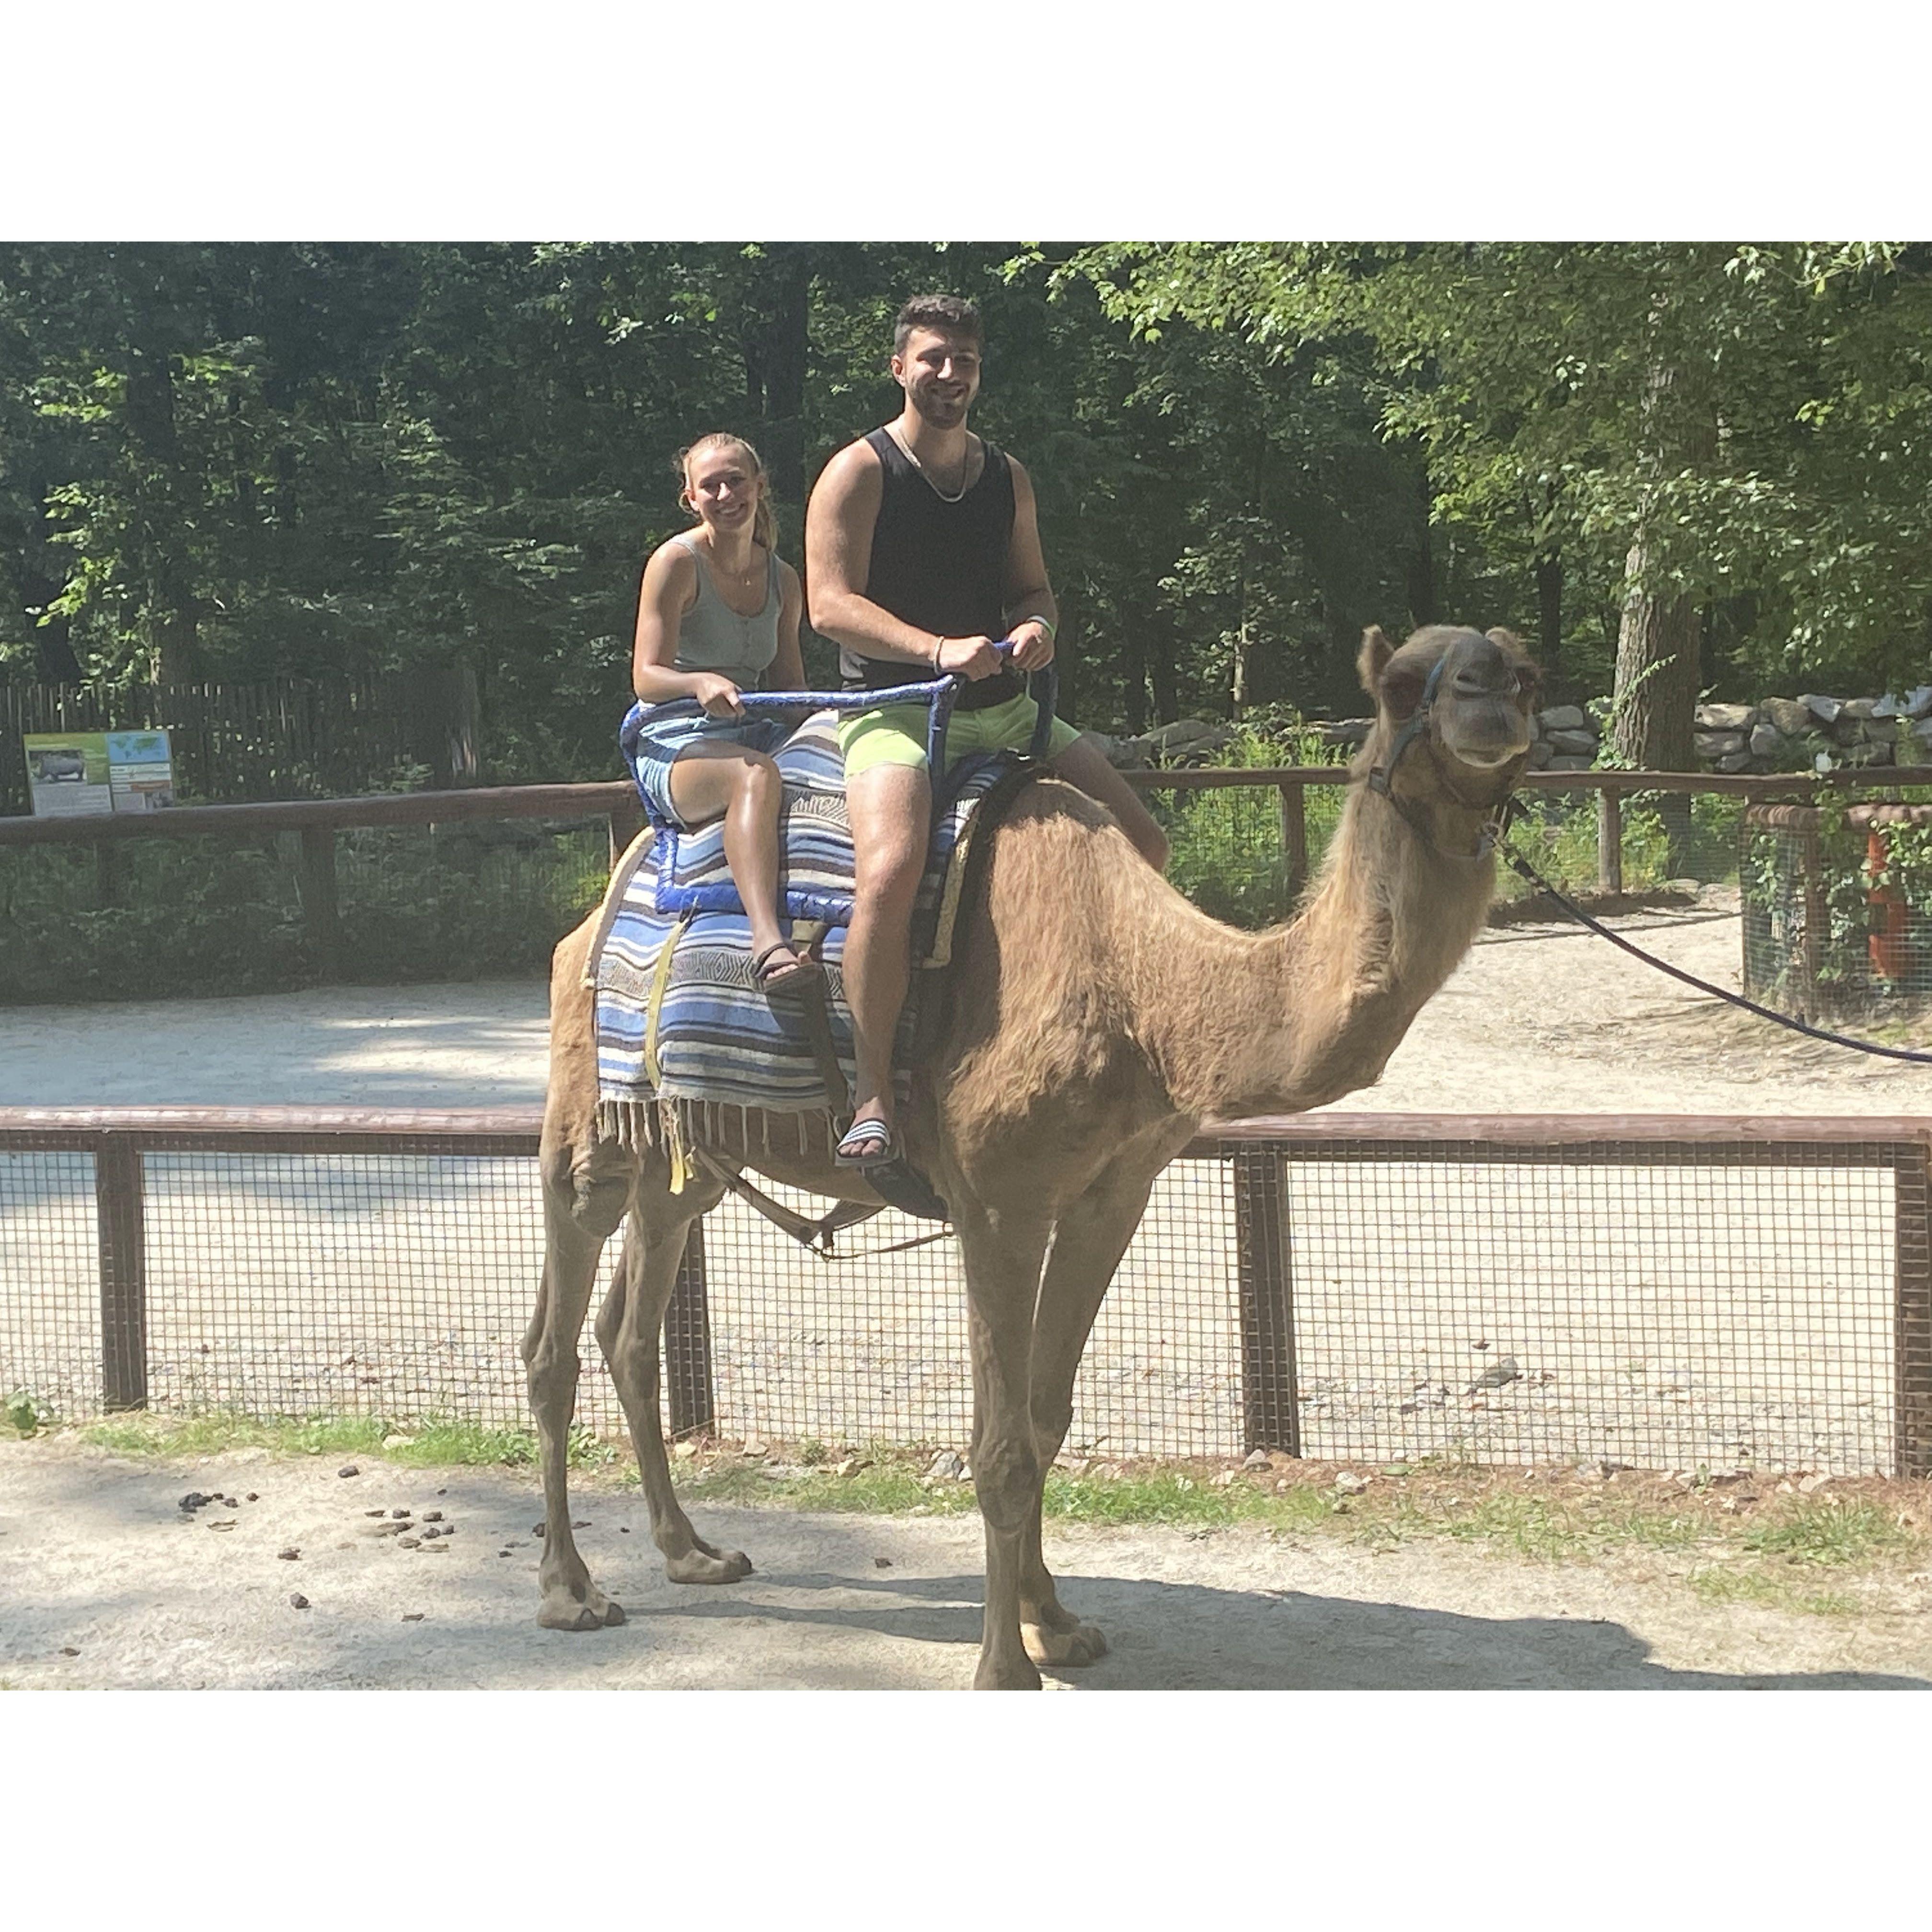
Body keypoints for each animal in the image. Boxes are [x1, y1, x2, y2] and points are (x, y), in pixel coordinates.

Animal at [525, 622, 1538, 1692]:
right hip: (586, 1129)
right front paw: (1005, 1667)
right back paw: (573, 1590)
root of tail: (600, 905)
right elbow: (1000, 1443)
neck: (1149, 992)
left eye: (1524, 671)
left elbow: (1046, 1421)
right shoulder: (998, 1202)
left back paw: (693, 1552)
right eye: (1402, 686)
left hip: (688, 1156)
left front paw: (1056, 1621)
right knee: (553, 1335)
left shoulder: (1112, 1191)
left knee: (629, 1326)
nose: (1491, 699)